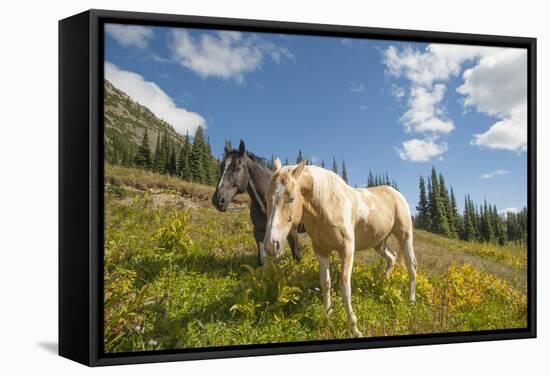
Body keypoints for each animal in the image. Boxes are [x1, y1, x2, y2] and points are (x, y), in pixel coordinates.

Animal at [264, 160, 418, 336]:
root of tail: (396, 193)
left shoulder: (347, 250)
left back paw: (411, 301)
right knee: (391, 259)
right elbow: (325, 283)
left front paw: (355, 328)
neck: (327, 206)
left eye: (291, 198)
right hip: (378, 243)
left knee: (411, 266)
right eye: (266, 198)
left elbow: (345, 286)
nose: (270, 246)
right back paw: (382, 283)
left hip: (405, 236)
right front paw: (328, 315)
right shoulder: (321, 250)